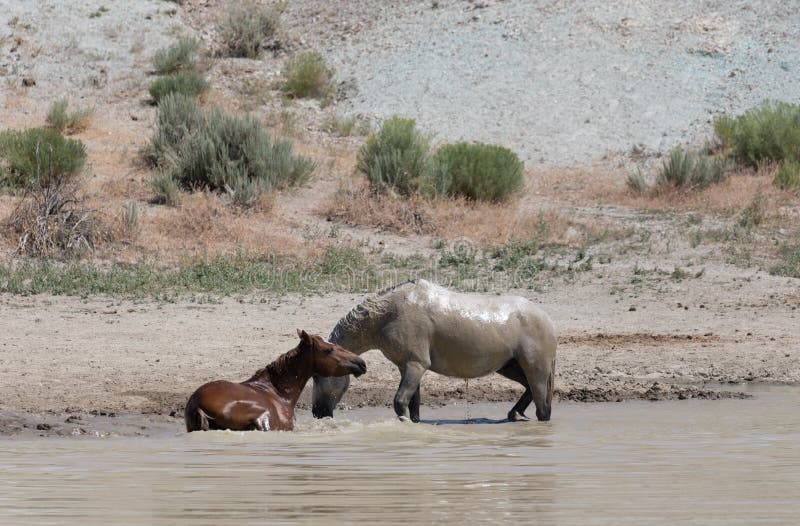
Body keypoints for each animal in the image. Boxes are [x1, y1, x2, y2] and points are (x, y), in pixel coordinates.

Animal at [312, 280, 556, 424]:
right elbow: (413, 404)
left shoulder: (416, 365)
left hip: (536, 369)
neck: (390, 313)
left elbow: (400, 402)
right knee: (529, 390)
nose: (316, 413)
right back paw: (514, 414)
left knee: (542, 406)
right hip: (509, 366)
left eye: (317, 376)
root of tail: (547, 320)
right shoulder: (408, 367)